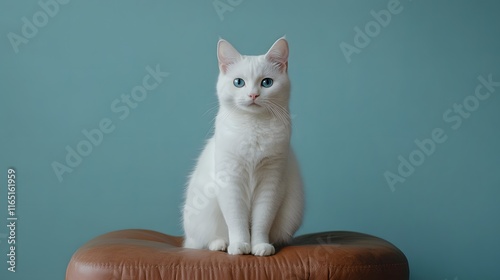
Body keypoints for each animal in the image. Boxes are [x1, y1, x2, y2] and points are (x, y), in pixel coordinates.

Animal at [182, 37, 302, 256]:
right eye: (239, 82)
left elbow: (262, 221)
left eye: (267, 82)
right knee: (204, 241)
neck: (253, 128)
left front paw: (260, 246)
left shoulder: (271, 181)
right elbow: (236, 220)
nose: (253, 95)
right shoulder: (230, 182)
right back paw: (221, 244)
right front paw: (239, 245)